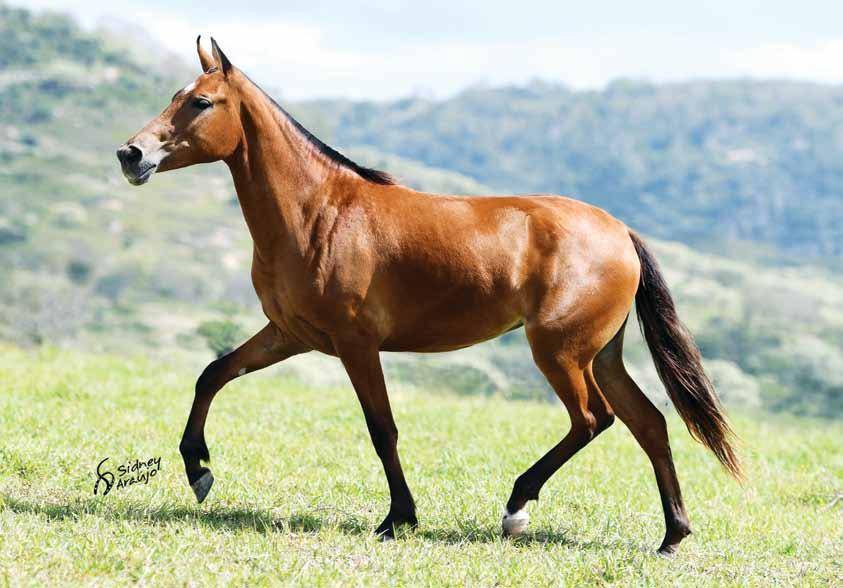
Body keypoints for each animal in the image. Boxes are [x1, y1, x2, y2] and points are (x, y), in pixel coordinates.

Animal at [117, 39, 740, 552]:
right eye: (176, 96)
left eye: (200, 102)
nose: (132, 155)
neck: (320, 211)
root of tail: (621, 233)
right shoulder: (290, 334)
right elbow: (213, 373)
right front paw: (198, 471)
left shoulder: (355, 343)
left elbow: (382, 429)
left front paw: (399, 518)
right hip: (601, 355)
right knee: (648, 423)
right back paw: (672, 536)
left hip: (560, 352)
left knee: (593, 419)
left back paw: (516, 509)